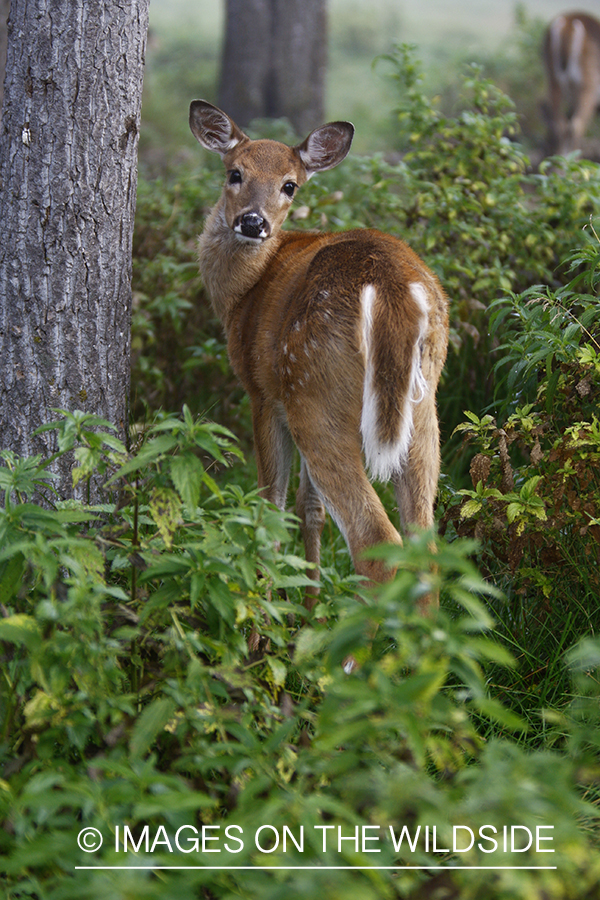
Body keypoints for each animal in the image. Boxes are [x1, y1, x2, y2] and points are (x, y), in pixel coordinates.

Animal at [190, 100, 448, 620]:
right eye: (234, 172)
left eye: (290, 184)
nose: (253, 222)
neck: (241, 295)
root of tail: (390, 292)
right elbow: (310, 509)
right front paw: (305, 612)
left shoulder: (263, 392)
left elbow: (271, 507)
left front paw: (266, 623)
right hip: (422, 406)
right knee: (424, 546)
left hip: (315, 387)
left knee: (376, 545)